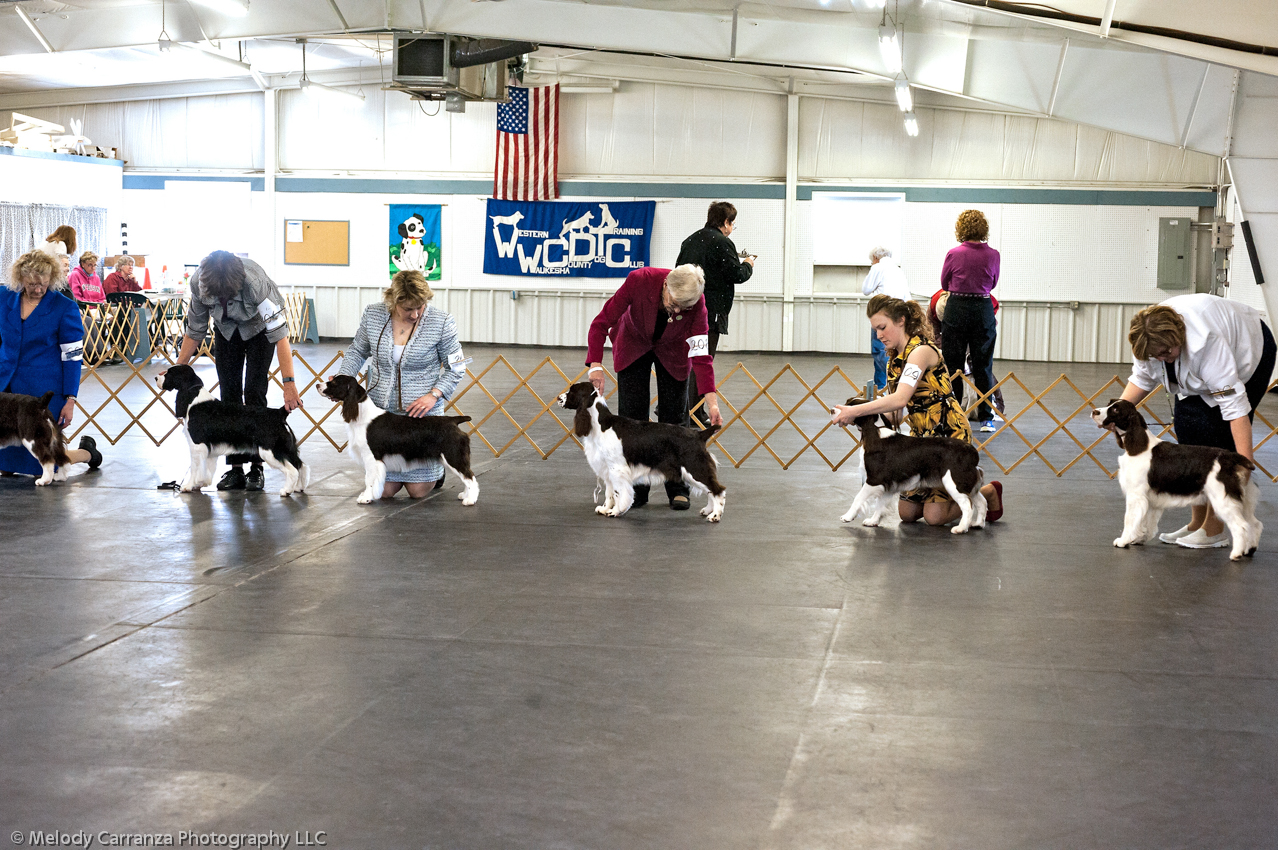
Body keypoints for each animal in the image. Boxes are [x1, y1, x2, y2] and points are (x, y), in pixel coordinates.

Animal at [155, 365, 309, 498]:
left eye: (169, 373)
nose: (156, 377)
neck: (194, 399)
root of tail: (279, 413)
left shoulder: (197, 445)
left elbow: (195, 468)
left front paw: (187, 486)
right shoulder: (209, 448)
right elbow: (207, 468)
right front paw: (201, 483)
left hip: (270, 451)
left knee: (293, 470)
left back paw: (286, 491)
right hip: (287, 448)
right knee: (301, 466)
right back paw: (298, 488)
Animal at [554, 380, 725, 521]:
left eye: (572, 390)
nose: (558, 397)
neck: (599, 425)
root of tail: (699, 434)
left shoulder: (617, 469)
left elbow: (618, 493)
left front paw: (615, 511)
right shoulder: (607, 468)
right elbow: (609, 493)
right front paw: (604, 508)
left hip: (694, 467)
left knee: (717, 490)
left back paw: (715, 515)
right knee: (710, 490)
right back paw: (707, 510)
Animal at [838, 398, 986, 531]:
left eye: (850, 405)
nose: (834, 410)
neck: (876, 433)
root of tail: (971, 451)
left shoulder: (874, 479)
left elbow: (858, 498)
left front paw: (847, 517)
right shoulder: (888, 484)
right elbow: (880, 504)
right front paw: (873, 521)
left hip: (954, 483)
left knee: (967, 506)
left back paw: (960, 528)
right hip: (970, 485)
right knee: (981, 501)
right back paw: (978, 524)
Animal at [1088, 398, 1257, 559]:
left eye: (1116, 409)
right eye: (1109, 403)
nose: (1094, 411)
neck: (1139, 447)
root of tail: (1229, 458)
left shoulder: (1136, 495)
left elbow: (1129, 519)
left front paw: (1123, 541)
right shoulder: (1151, 500)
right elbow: (1147, 524)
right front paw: (1139, 539)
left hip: (1223, 500)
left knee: (1241, 526)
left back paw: (1236, 554)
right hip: (1243, 499)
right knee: (1255, 523)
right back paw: (1249, 550)